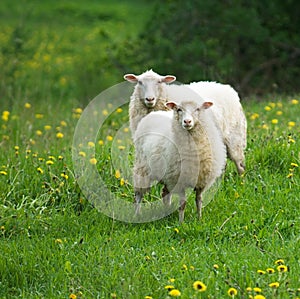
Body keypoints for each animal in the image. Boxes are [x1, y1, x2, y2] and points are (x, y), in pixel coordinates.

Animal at [132, 86, 226, 223]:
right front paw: (181, 223)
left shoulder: (201, 180)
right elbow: (182, 204)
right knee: (139, 194)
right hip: (143, 168)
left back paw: (166, 212)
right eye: (179, 109)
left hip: (167, 174)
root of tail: (153, 113)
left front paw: (199, 219)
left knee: (165, 193)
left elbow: (199, 200)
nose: (187, 121)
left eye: (198, 109)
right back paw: (137, 214)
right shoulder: (180, 180)